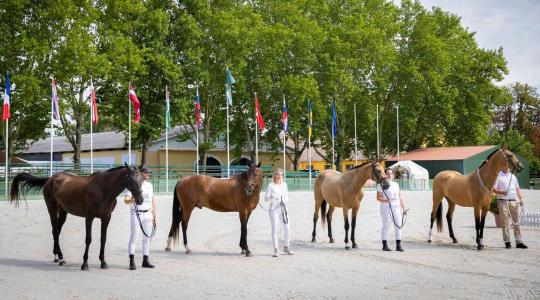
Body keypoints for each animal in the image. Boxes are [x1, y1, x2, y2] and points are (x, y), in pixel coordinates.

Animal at [9, 164, 144, 270]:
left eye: (142, 180)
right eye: (131, 180)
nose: (140, 200)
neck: (103, 189)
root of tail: (51, 179)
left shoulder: (106, 217)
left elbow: (103, 239)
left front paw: (103, 262)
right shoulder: (89, 217)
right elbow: (88, 239)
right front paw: (85, 264)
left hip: (63, 212)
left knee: (58, 231)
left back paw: (57, 256)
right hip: (52, 209)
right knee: (55, 231)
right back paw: (60, 257)